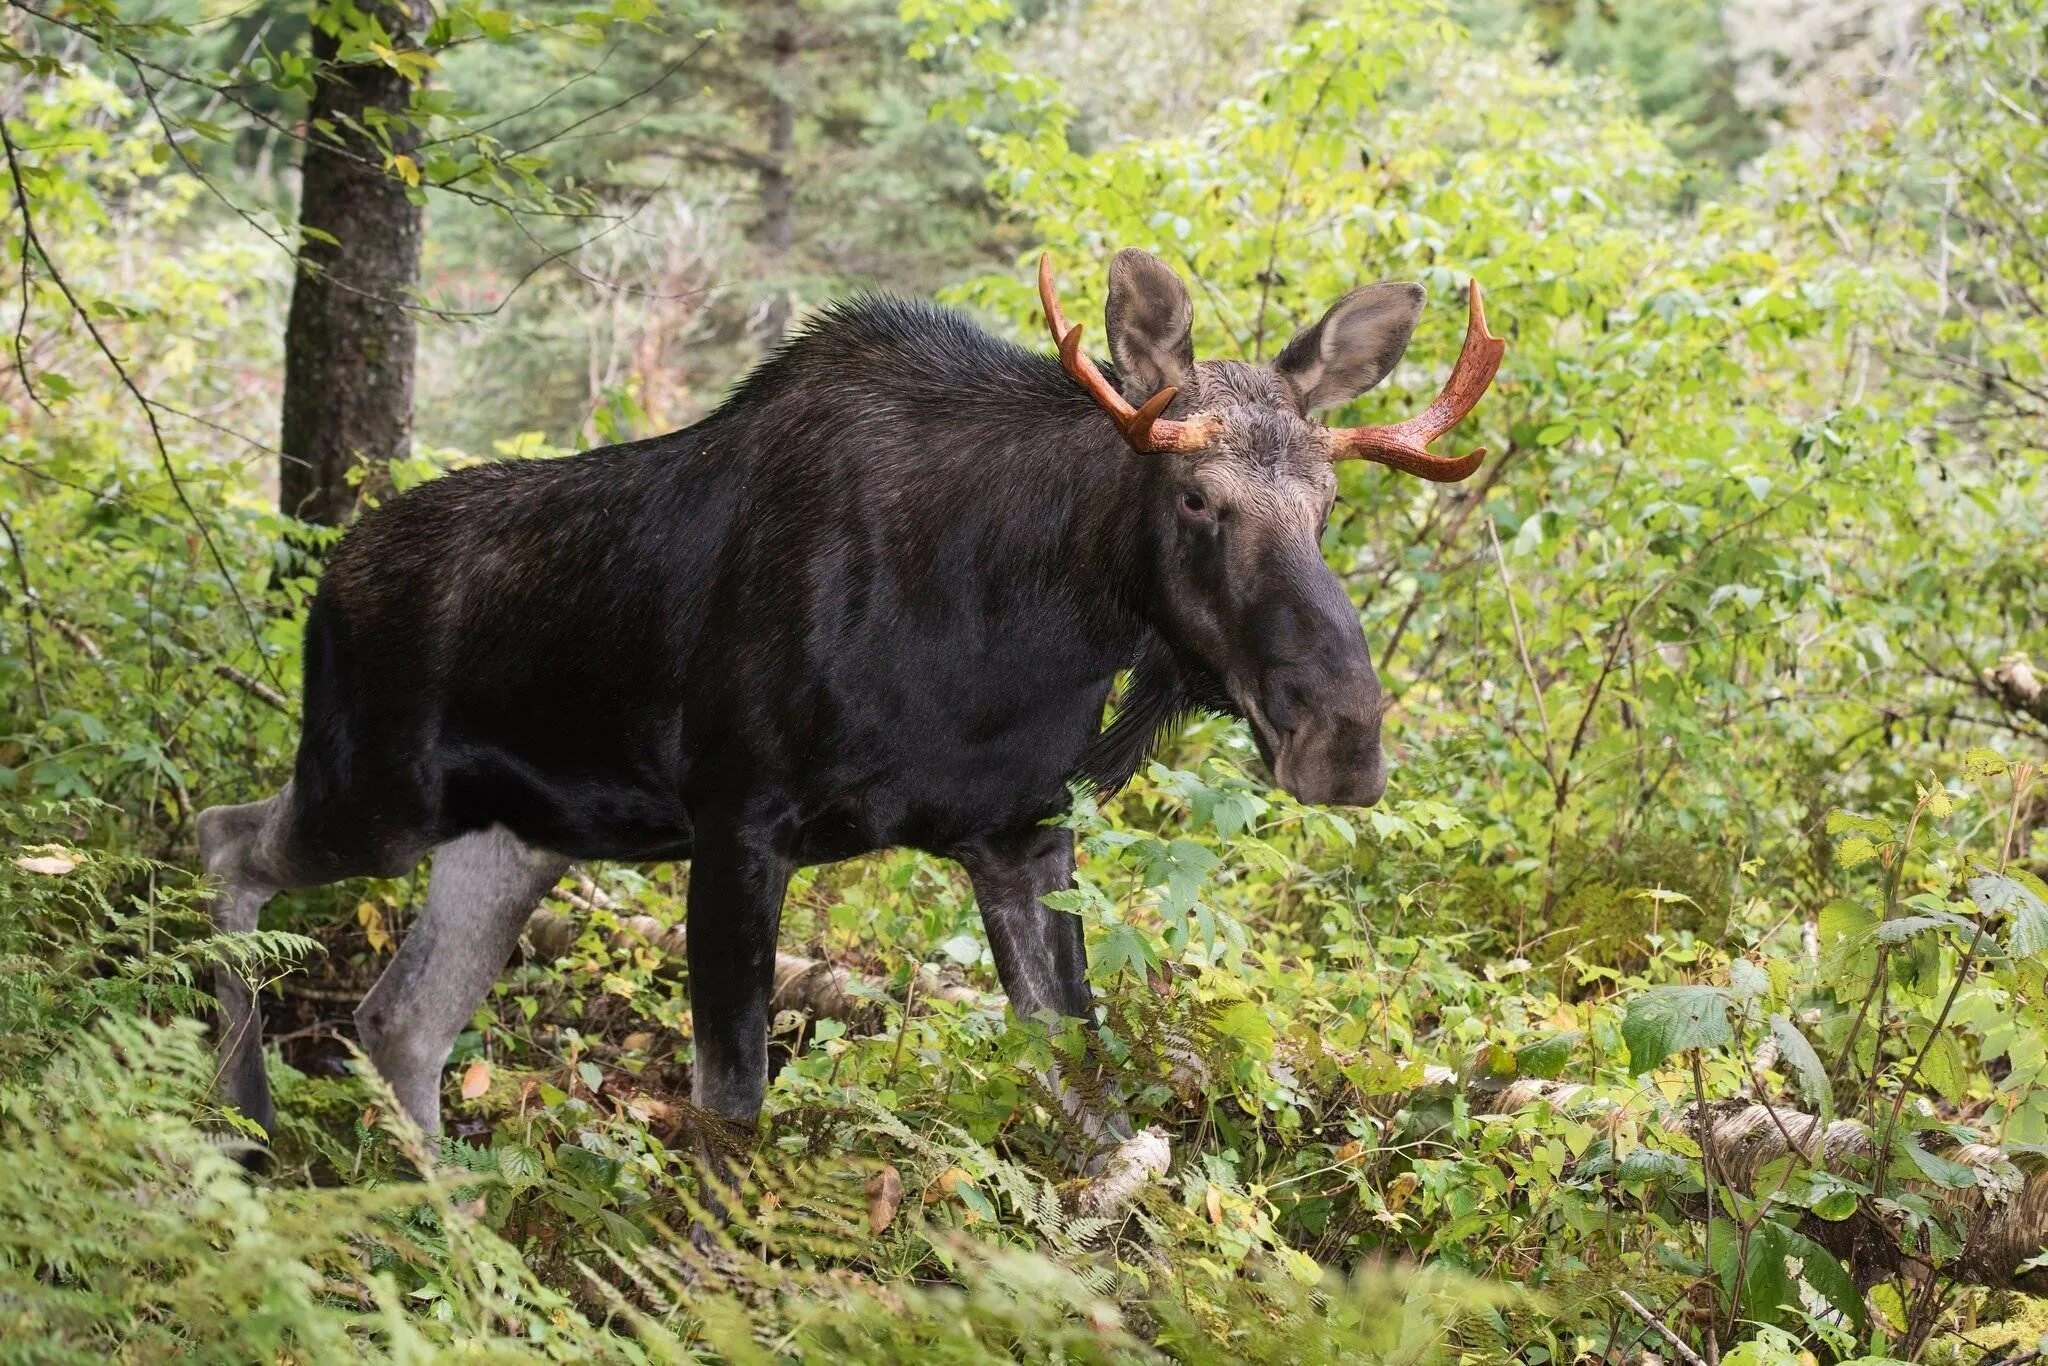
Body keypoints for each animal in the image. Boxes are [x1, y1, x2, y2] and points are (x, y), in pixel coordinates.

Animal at [195, 245, 1507, 1163]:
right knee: (223, 837)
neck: (1024, 629)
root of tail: (328, 577)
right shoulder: (739, 822)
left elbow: (1097, 1106)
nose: (1343, 734)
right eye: (1195, 498)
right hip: (372, 791)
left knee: (397, 1022)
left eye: (1327, 505)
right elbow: (732, 1111)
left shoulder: (1022, 837)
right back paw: (242, 1117)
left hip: (515, 837)